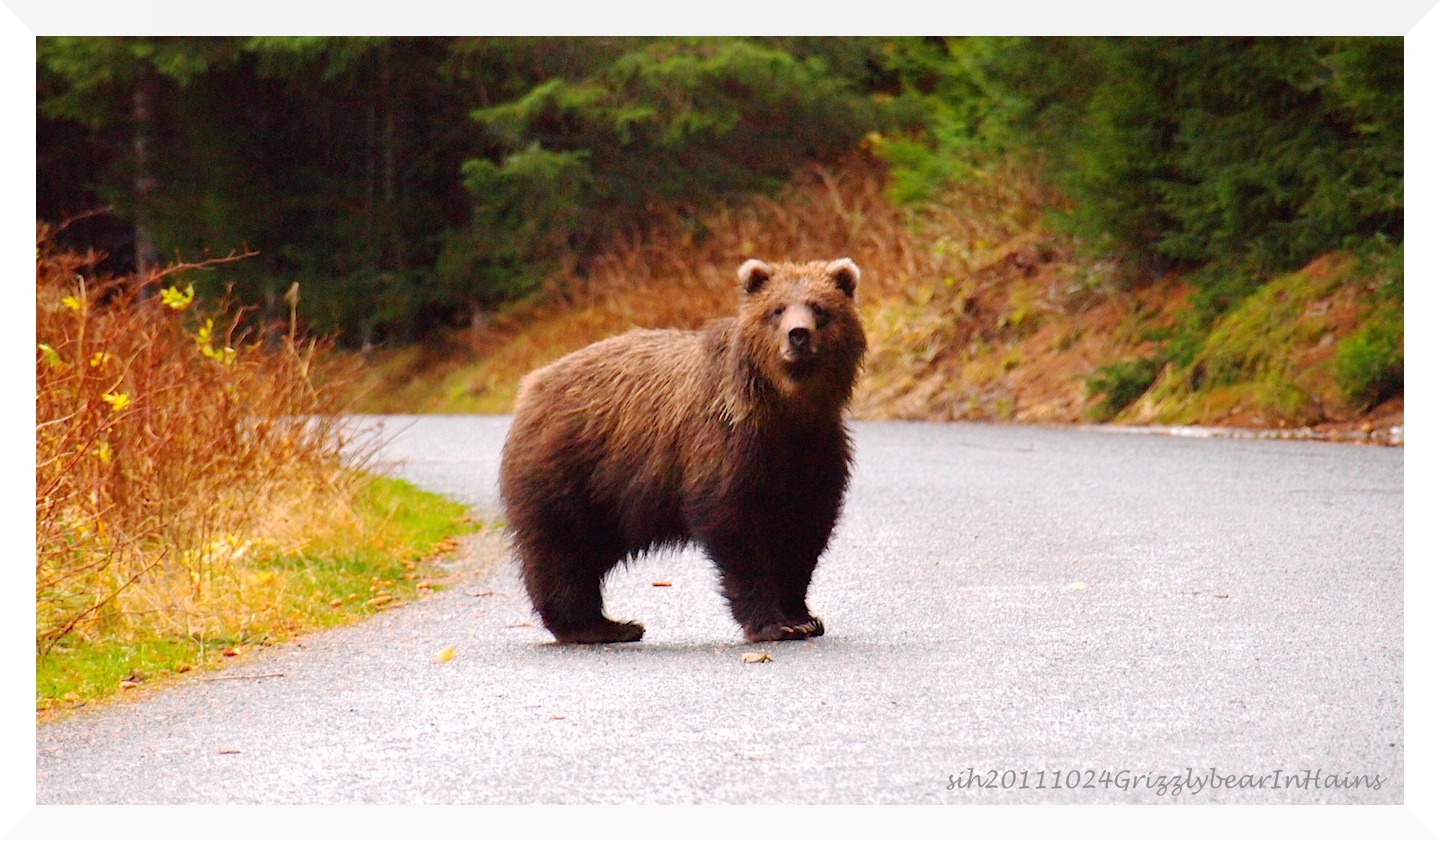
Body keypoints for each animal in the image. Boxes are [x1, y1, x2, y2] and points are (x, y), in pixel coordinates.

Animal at [498, 256, 864, 645]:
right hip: (572, 470)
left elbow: (805, 533)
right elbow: (737, 533)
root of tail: (532, 384)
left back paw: (609, 624)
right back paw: (593, 625)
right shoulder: (724, 448)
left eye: (819, 308)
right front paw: (771, 623)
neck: (785, 410)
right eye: (777, 309)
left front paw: (803, 617)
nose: (798, 334)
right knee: (564, 550)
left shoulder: (815, 452)